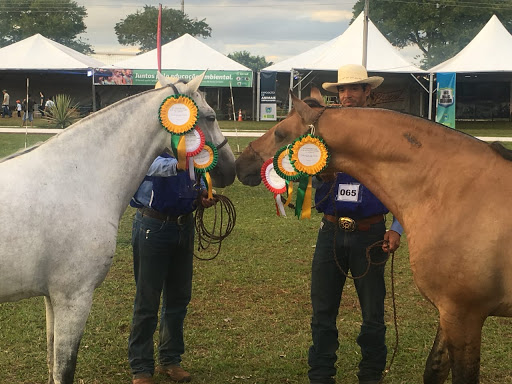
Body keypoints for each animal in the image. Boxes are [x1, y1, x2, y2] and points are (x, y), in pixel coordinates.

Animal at [0, 73, 235, 384]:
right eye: (210, 116)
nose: (231, 169)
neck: (74, 179)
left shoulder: (52, 298)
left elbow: (52, 365)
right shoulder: (73, 298)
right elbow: (63, 370)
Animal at [235, 87, 512, 384]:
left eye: (280, 133)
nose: (240, 165)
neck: (453, 190)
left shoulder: (464, 315)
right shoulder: (449, 313)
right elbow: (434, 368)